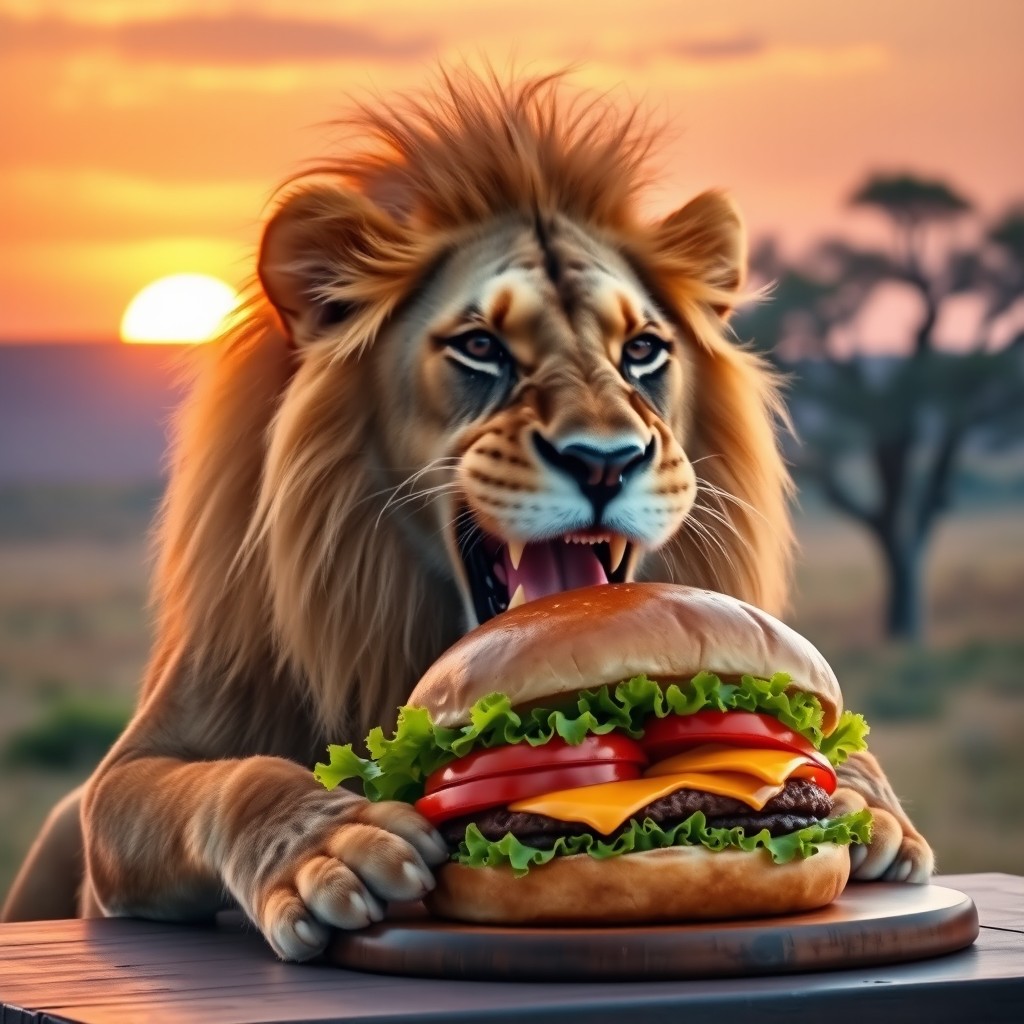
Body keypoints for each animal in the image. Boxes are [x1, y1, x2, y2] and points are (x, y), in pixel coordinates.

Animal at [2, 68, 933, 959]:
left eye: (642, 350)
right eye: (480, 347)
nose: (605, 459)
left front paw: (872, 806)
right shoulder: (130, 775)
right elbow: (228, 778)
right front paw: (332, 846)